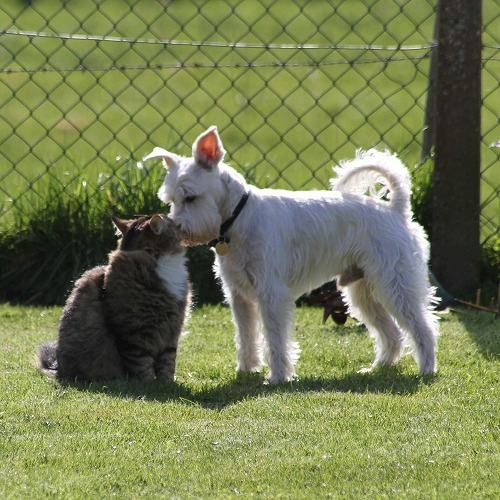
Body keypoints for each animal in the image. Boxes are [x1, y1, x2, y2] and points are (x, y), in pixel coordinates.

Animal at [37, 215, 189, 382]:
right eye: (172, 222)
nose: (180, 222)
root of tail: (58, 369)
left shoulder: (172, 331)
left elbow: (168, 363)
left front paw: (167, 383)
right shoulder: (135, 332)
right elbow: (142, 365)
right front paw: (148, 384)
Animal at [146, 126, 438, 382]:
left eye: (190, 198)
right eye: (170, 200)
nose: (177, 230)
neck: (238, 218)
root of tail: (397, 210)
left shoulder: (271, 294)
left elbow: (275, 339)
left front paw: (277, 377)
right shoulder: (239, 296)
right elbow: (246, 335)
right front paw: (247, 369)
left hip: (396, 284)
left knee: (424, 327)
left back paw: (426, 369)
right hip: (364, 291)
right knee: (391, 332)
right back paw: (379, 367)